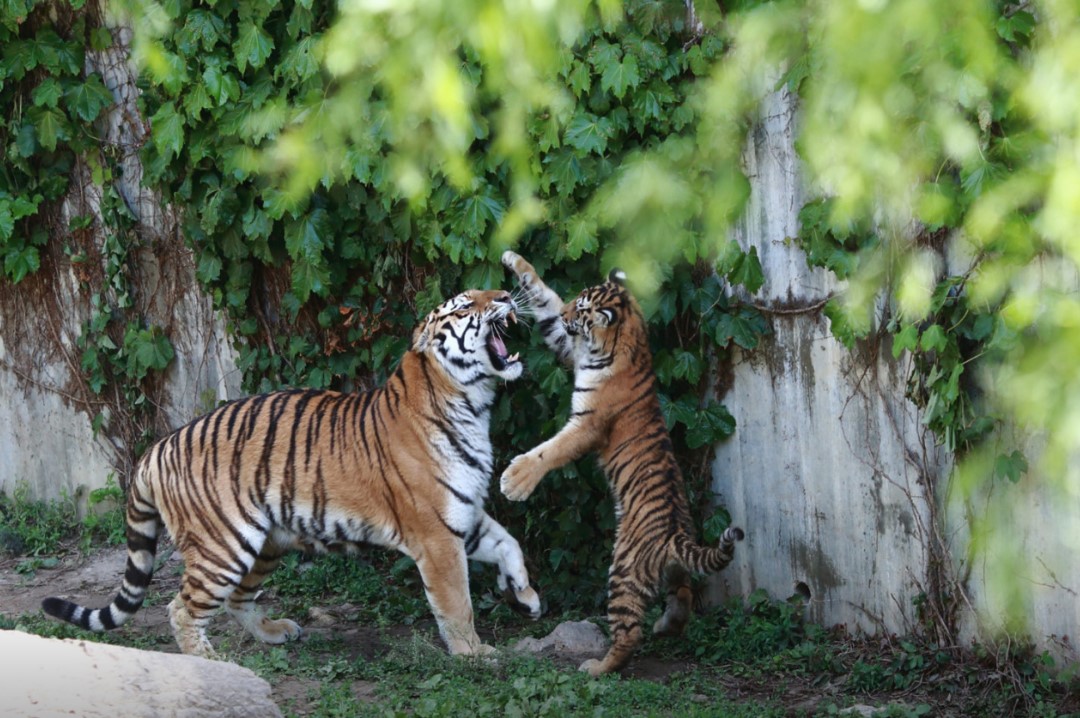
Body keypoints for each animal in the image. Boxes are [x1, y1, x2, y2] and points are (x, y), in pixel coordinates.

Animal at [42, 289, 540, 656]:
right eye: (465, 305)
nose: (506, 295)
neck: (472, 403)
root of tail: (158, 447)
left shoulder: (462, 515)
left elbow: (510, 544)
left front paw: (525, 595)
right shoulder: (435, 535)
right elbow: (456, 602)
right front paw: (474, 653)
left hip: (265, 543)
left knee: (237, 599)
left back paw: (274, 631)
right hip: (222, 546)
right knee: (181, 608)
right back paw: (211, 662)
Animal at [496, 253, 743, 678]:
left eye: (581, 309)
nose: (567, 313)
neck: (625, 337)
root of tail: (675, 536)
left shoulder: (587, 424)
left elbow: (549, 452)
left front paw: (514, 481)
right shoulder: (567, 344)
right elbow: (542, 296)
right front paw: (514, 260)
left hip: (623, 571)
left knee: (628, 634)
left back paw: (596, 667)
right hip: (673, 572)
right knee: (683, 595)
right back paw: (666, 626)